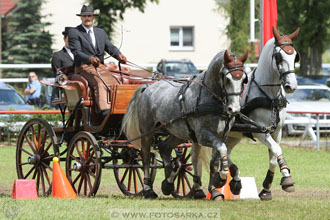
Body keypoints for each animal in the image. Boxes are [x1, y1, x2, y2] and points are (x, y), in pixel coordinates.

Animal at [122, 49, 248, 199]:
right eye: (227, 79)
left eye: (243, 79)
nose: (234, 109)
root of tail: (147, 87)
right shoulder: (203, 136)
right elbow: (222, 149)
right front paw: (222, 178)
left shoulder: (221, 135)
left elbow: (215, 161)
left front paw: (217, 189)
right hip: (148, 132)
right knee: (146, 156)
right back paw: (148, 189)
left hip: (177, 133)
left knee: (164, 148)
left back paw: (169, 182)